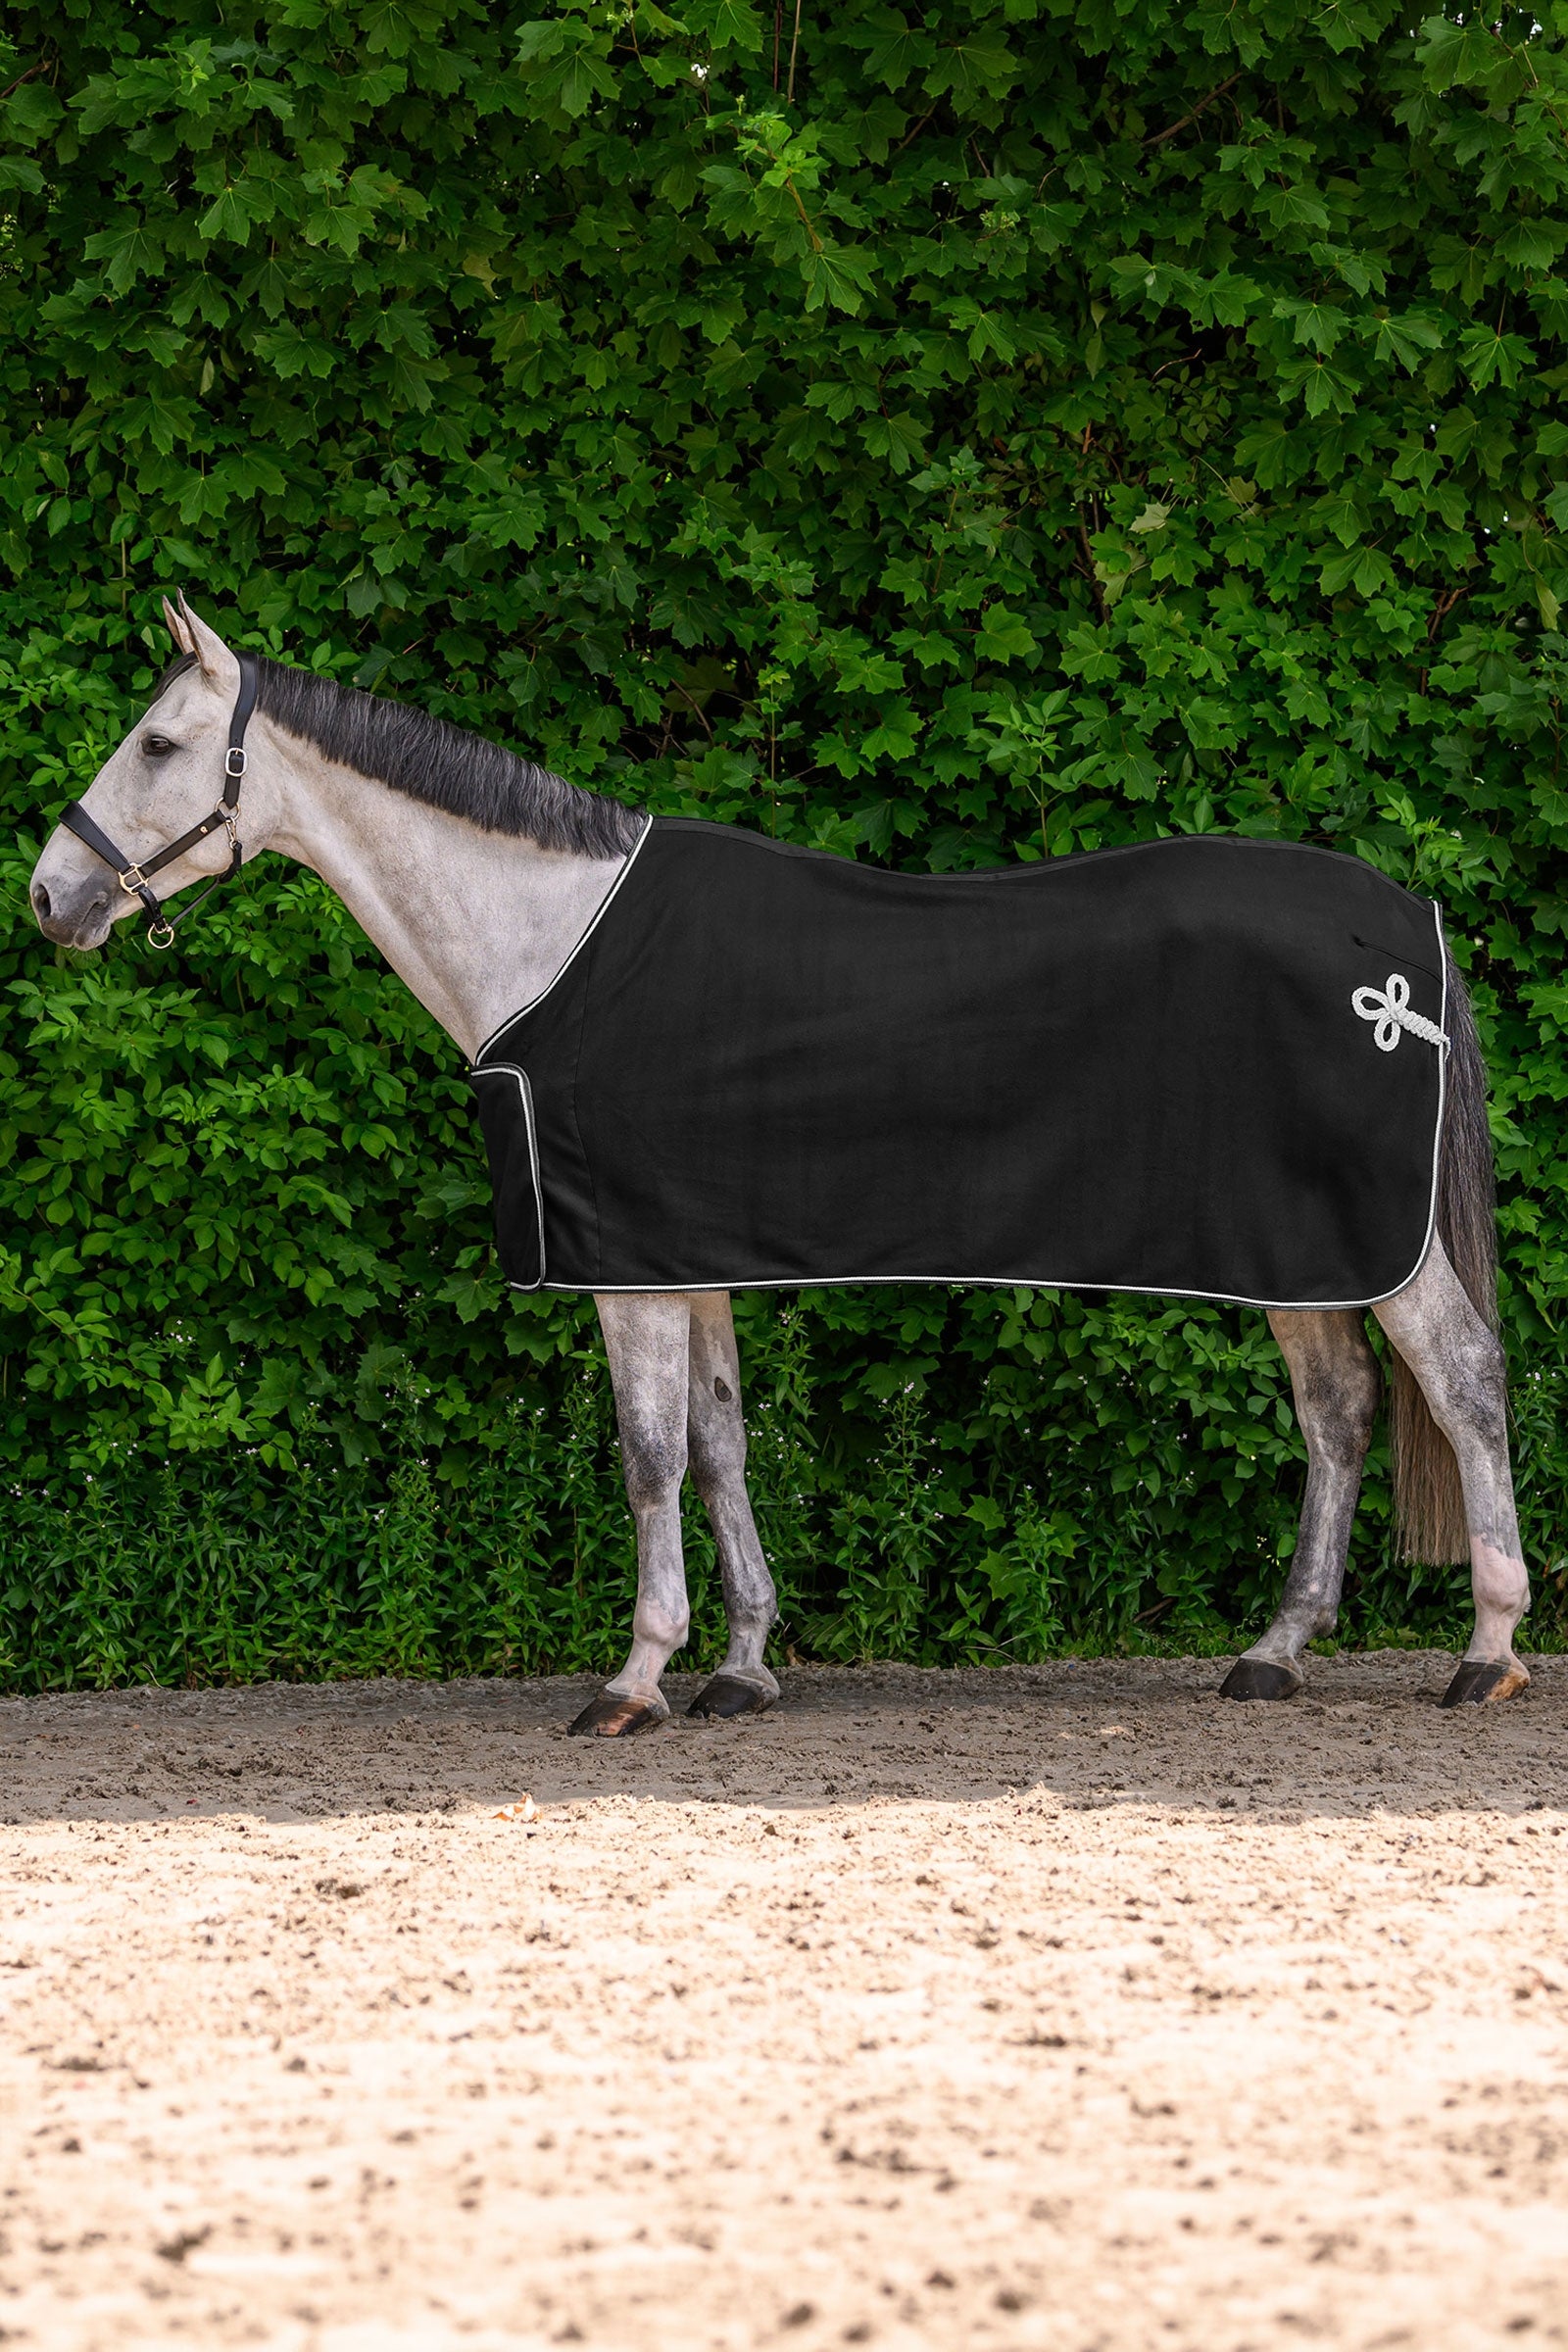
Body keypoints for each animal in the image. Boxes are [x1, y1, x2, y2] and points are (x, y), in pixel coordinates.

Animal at [27, 598, 1531, 1727]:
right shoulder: (682, 1256)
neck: (551, 939)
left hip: (1367, 1248)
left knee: (1461, 1381)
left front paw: (635, 1680)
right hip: (1299, 1254)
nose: (52, 896)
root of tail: (1407, 931)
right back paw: (1275, 1652)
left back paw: (1487, 1652)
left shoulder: (625, 1267)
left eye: (159, 741)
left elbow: (645, 1458)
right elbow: (720, 1443)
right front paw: (742, 1667)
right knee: (1339, 1411)